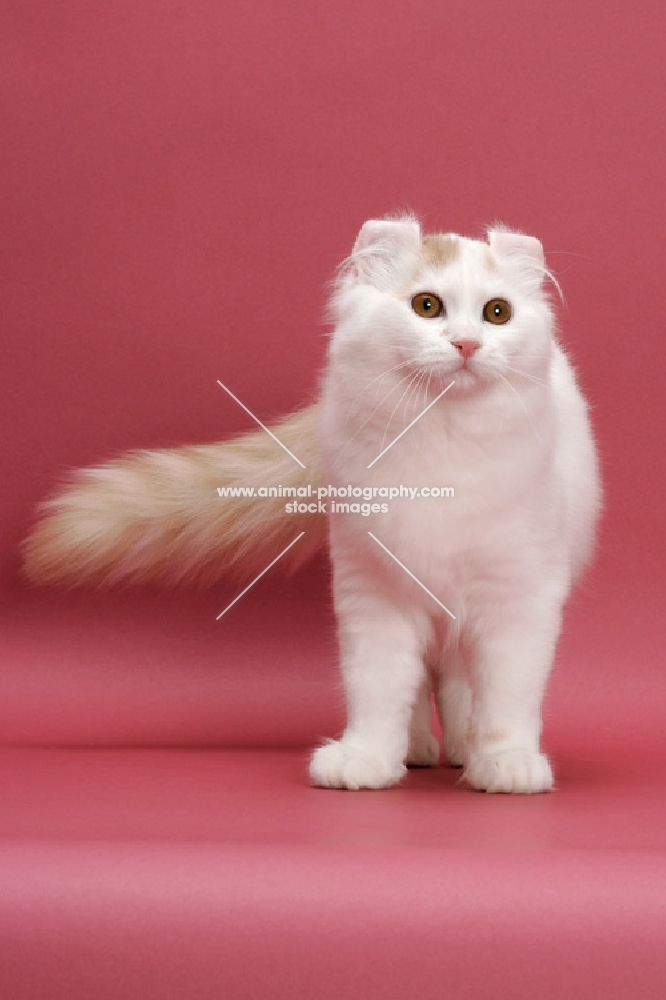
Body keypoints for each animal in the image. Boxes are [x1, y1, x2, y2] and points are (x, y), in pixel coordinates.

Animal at [22, 215, 600, 792]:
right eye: (427, 306)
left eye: (497, 313)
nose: (466, 344)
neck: (441, 441)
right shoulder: (373, 591)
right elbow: (378, 687)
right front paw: (367, 758)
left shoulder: (519, 598)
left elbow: (506, 696)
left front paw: (506, 762)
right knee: (425, 686)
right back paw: (417, 750)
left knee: (458, 682)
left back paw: (461, 749)